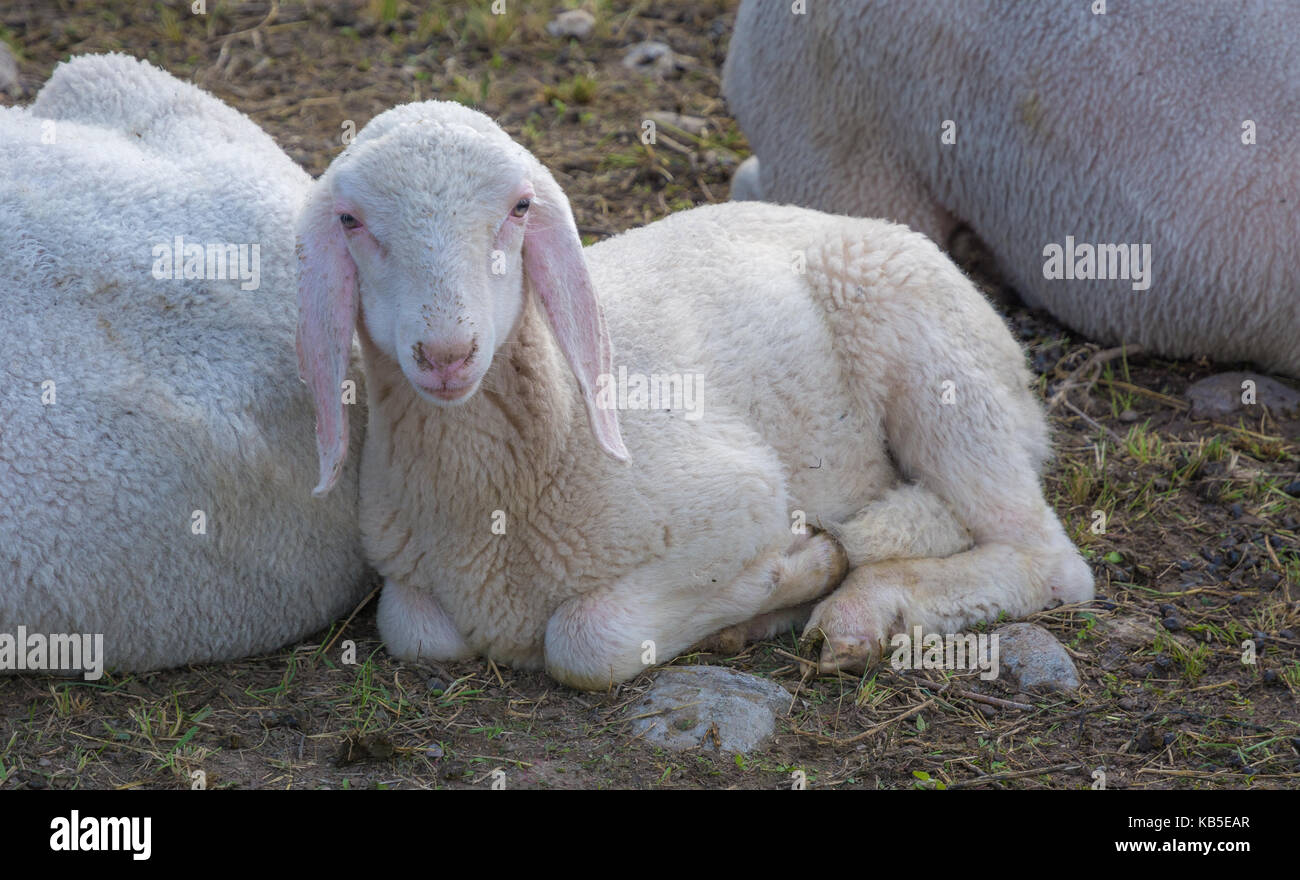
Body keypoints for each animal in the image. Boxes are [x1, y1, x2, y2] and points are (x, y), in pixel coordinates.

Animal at [297, 100, 1094, 690]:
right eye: (351, 221)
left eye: (520, 208)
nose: (446, 354)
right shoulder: (406, 578)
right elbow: (416, 630)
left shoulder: (741, 498)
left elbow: (589, 639)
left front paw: (797, 569)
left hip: (934, 366)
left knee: (1045, 559)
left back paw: (865, 606)